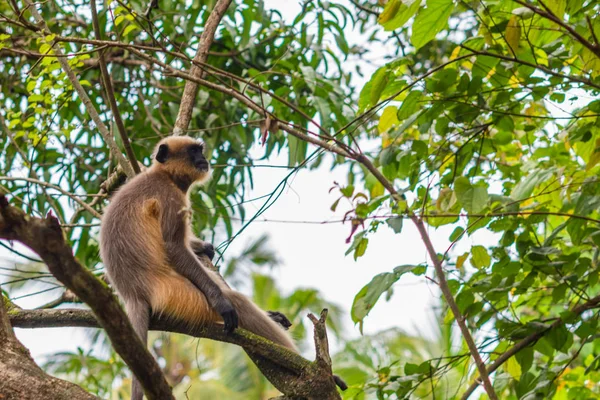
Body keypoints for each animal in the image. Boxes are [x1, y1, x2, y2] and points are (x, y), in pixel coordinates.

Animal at [101, 136, 298, 398]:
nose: (203, 158)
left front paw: (204, 247)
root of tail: (132, 293)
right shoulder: (170, 197)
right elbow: (175, 247)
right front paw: (221, 301)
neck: (164, 175)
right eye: (193, 151)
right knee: (237, 303)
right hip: (176, 294)